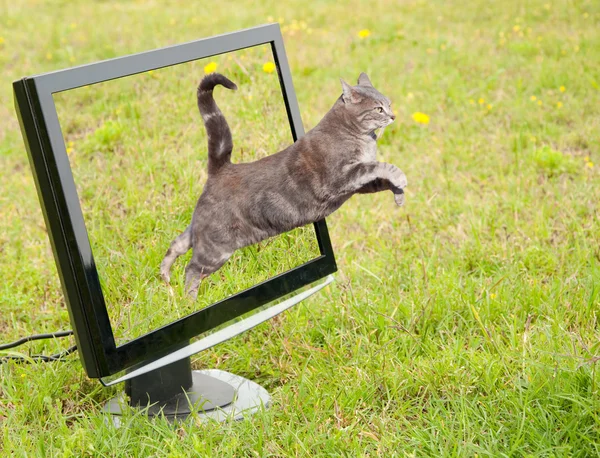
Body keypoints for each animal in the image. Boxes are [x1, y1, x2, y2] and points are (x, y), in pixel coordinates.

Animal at [159, 71, 408, 296]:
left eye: (389, 104)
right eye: (378, 108)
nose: (394, 116)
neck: (360, 136)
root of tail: (220, 169)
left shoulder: (358, 185)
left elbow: (382, 179)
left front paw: (399, 195)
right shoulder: (342, 176)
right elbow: (381, 166)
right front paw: (400, 178)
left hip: (201, 231)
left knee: (178, 243)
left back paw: (165, 277)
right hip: (215, 248)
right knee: (192, 269)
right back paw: (188, 300)